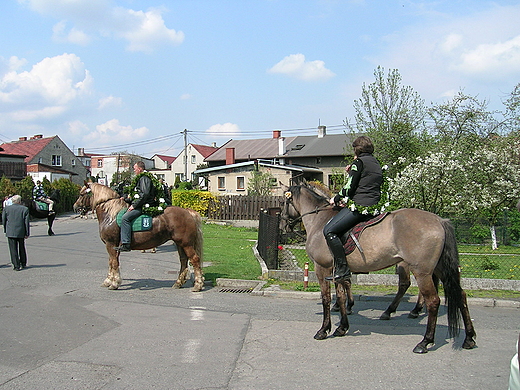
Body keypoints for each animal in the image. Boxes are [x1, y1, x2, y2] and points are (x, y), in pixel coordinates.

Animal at [74, 182, 204, 290]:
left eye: (81, 194)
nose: (75, 207)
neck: (110, 215)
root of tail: (188, 212)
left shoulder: (110, 244)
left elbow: (114, 263)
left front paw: (114, 283)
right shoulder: (115, 247)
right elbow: (112, 262)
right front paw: (109, 280)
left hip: (186, 244)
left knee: (195, 259)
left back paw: (198, 285)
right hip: (180, 244)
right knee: (183, 261)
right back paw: (178, 283)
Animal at [282, 182, 478, 354]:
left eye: (284, 201)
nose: (284, 223)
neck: (320, 220)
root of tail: (439, 219)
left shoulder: (322, 268)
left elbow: (326, 299)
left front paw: (324, 330)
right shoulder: (337, 271)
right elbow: (341, 295)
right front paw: (342, 327)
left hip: (421, 271)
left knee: (432, 300)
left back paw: (424, 341)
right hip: (439, 269)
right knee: (460, 295)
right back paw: (468, 338)